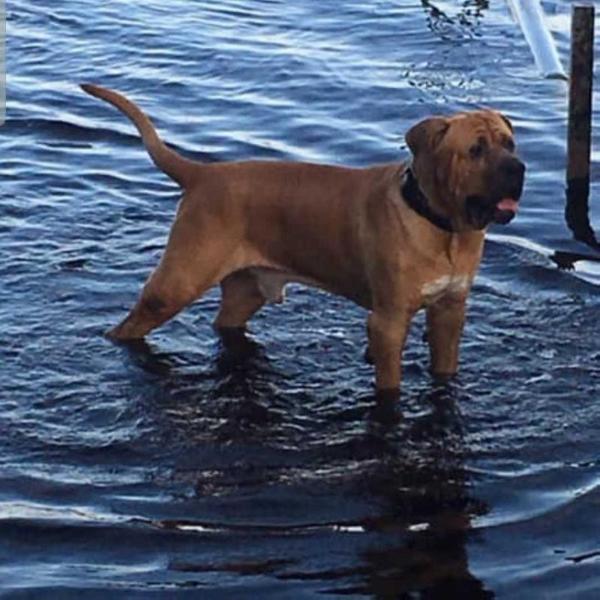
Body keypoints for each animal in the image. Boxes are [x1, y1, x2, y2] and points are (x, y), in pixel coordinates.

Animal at [82, 85, 524, 394]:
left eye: (509, 143)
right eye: (475, 150)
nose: (518, 168)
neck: (442, 227)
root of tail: (202, 174)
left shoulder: (450, 311)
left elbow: (445, 366)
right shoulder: (388, 322)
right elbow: (390, 386)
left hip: (245, 290)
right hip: (175, 284)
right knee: (127, 327)